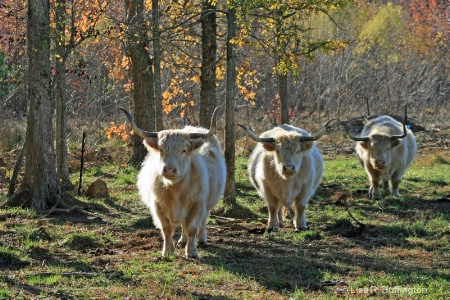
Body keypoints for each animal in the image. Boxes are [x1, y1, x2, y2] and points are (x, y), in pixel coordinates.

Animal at [118, 106, 227, 256]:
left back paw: (201, 240)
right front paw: (168, 251)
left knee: (202, 221)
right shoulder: (158, 204)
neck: (176, 190)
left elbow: (192, 227)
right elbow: (167, 229)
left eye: (184, 150)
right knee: (183, 225)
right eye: (161, 150)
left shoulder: (198, 203)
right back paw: (182, 241)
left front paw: (192, 251)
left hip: (208, 203)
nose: (169, 170)